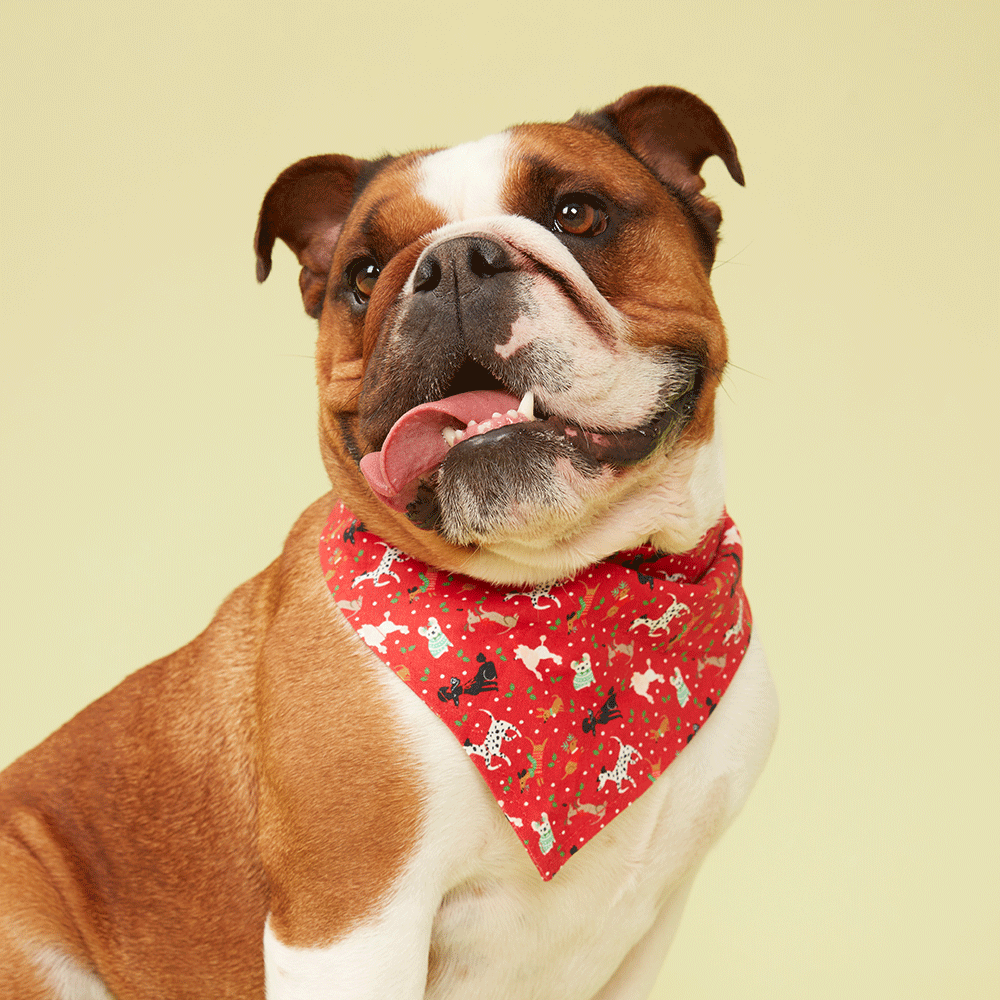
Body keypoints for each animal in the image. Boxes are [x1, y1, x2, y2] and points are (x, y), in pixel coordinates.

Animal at [0, 86, 780, 1000]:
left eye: (577, 213)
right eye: (364, 274)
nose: (453, 264)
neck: (566, 585)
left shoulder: (646, 931)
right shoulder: (351, 925)